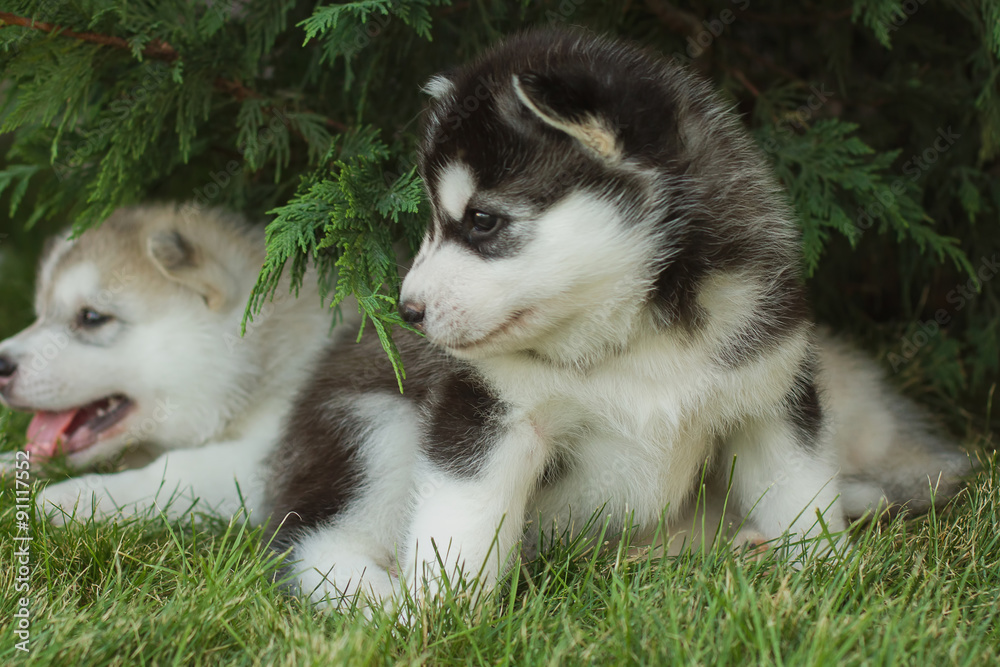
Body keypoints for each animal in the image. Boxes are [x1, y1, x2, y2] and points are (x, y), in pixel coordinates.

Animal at [0, 204, 356, 520]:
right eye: (39, 315)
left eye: (91, 317)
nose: (0, 364)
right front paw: (11, 464)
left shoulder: (270, 457)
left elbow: (175, 470)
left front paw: (79, 497)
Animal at [266, 27, 968, 612]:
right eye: (436, 220)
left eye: (483, 221)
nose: (407, 311)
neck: (636, 334)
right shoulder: (488, 413)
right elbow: (462, 526)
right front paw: (442, 615)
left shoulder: (768, 397)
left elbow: (800, 493)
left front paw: (823, 573)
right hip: (374, 426)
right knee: (316, 544)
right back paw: (380, 600)